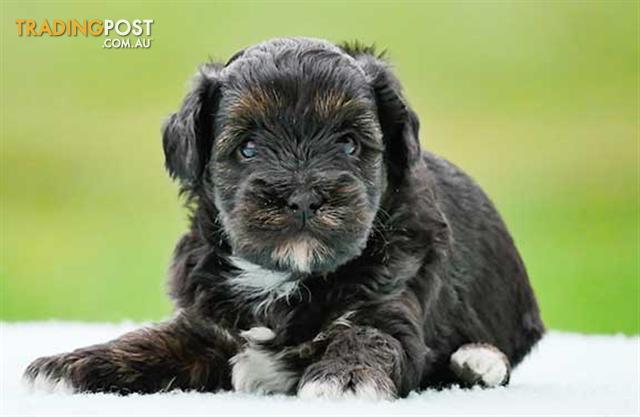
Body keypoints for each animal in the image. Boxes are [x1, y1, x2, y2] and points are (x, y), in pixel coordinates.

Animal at [26, 37, 544, 398]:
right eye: (248, 147)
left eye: (349, 144)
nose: (303, 196)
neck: (282, 277)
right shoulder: (203, 326)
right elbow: (149, 340)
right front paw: (72, 364)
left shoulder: (389, 309)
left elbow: (369, 337)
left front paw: (345, 378)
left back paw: (478, 359)